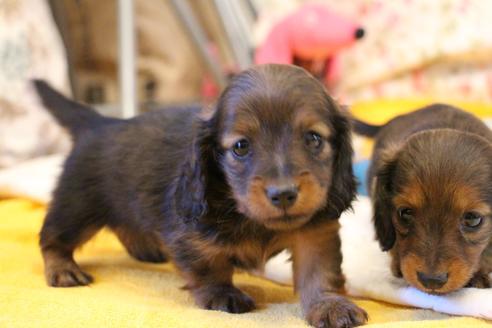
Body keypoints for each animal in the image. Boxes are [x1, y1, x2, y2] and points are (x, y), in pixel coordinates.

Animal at [34, 64, 368, 328]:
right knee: (52, 239)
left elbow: (320, 272)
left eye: (313, 138)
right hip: (76, 208)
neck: (247, 215)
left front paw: (329, 304)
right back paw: (63, 269)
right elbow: (210, 265)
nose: (284, 194)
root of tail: (100, 123)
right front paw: (222, 294)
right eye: (241, 146)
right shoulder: (191, 235)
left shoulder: (315, 232)